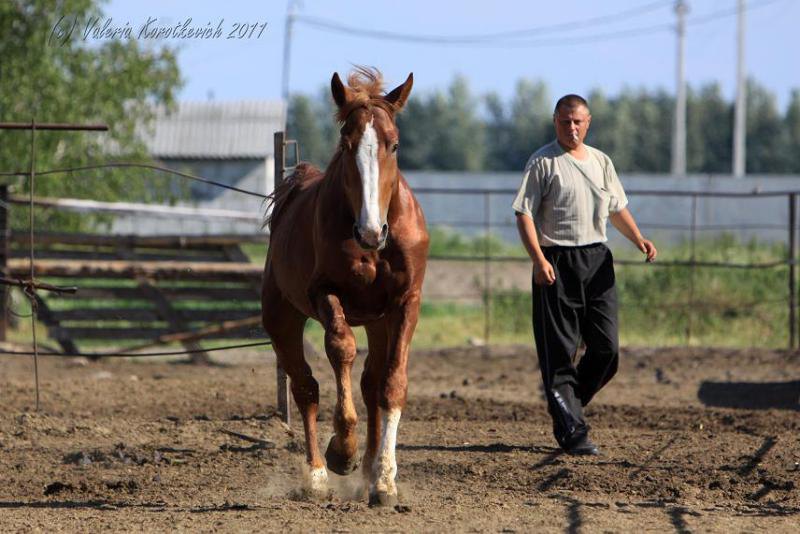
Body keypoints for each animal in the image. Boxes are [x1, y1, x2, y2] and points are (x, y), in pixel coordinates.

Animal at [262, 67, 428, 506]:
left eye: (394, 144)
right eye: (346, 142)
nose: (371, 232)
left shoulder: (405, 303)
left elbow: (391, 383)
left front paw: (384, 479)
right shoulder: (325, 294)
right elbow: (341, 349)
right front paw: (343, 450)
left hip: (378, 321)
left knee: (370, 382)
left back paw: (369, 469)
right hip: (280, 318)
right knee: (305, 386)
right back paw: (319, 473)